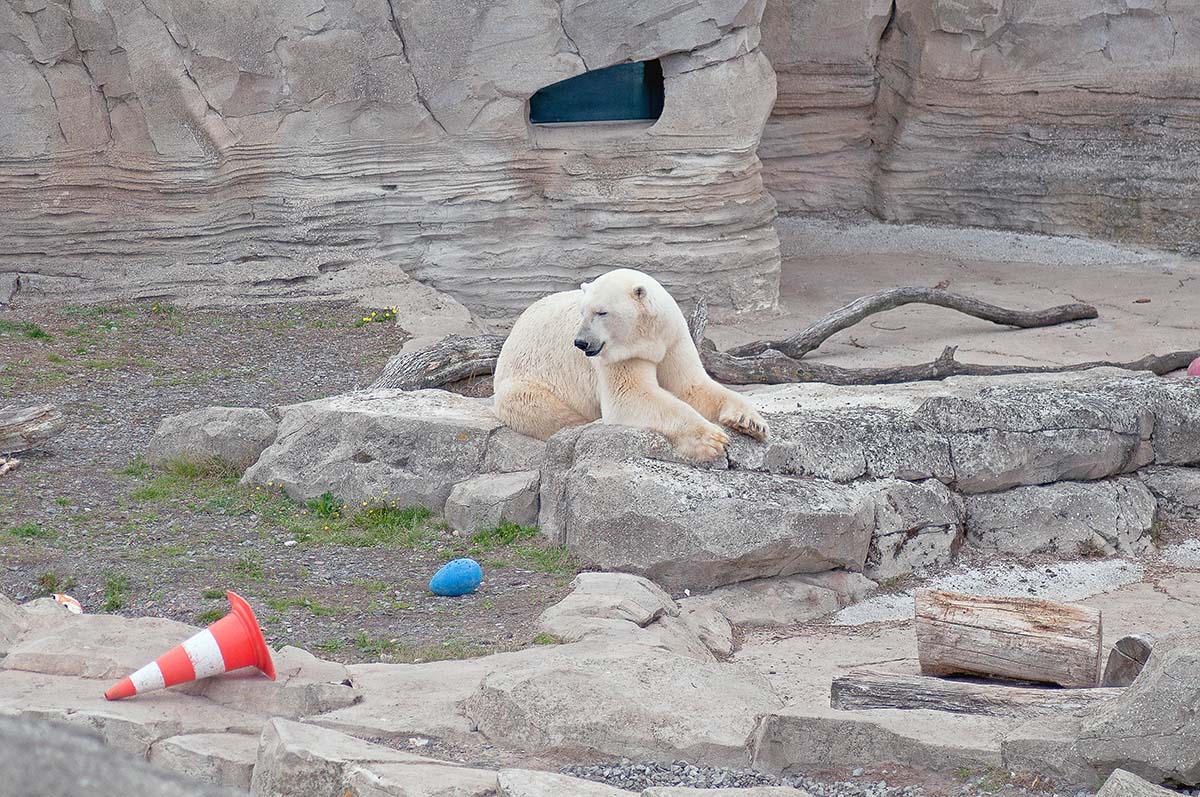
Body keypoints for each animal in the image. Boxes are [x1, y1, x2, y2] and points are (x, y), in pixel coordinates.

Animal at [494, 267, 768, 460]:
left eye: (601, 312)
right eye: (583, 312)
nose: (581, 342)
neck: (648, 338)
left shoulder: (673, 338)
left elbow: (691, 385)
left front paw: (751, 422)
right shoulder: (620, 355)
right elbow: (630, 395)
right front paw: (712, 439)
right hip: (524, 382)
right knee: (540, 407)